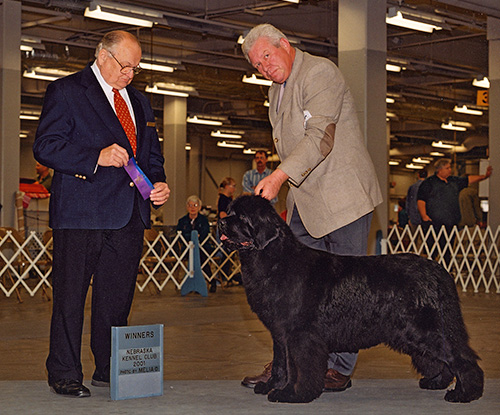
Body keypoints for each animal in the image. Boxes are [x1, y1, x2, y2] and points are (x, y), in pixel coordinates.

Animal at [220, 197, 484, 404]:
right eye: (230, 211)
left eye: (241, 217)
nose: (221, 221)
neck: (274, 259)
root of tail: (438, 270)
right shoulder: (280, 332)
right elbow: (280, 363)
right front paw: (272, 385)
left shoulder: (300, 333)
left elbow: (298, 366)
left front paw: (292, 394)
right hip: (414, 332)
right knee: (440, 358)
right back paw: (437, 382)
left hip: (424, 328)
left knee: (459, 356)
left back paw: (465, 393)